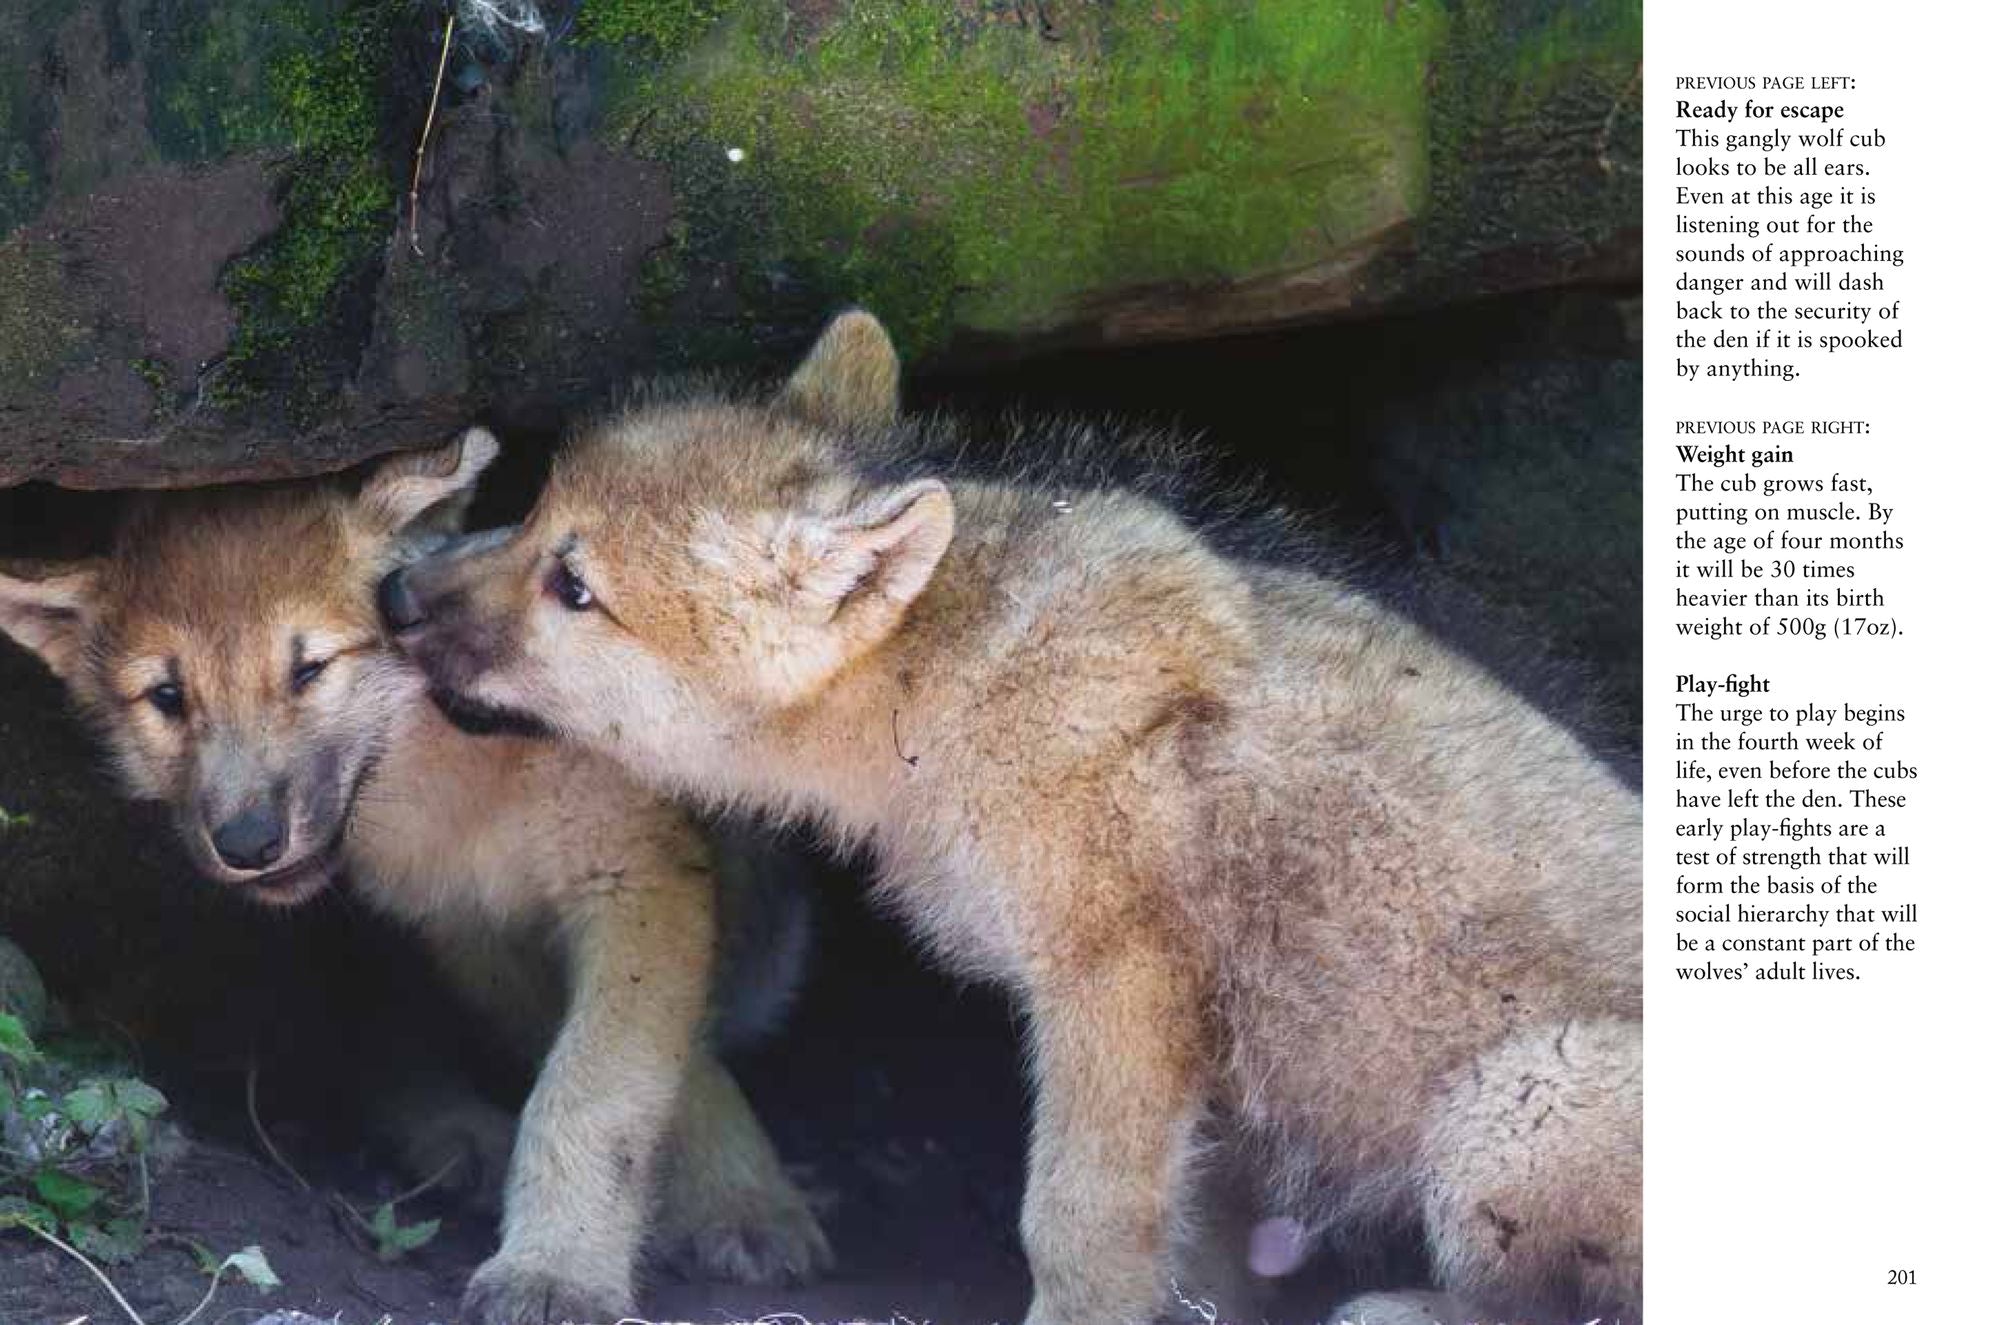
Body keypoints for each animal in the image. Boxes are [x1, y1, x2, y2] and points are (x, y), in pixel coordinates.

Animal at [0, 435, 832, 1325]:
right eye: (166, 696)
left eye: (309, 669)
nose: (248, 842)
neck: (459, 786)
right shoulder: (468, 931)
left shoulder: (639, 879)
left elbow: (600, 1085)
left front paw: (584, 1261)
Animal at [384, 312, 1643, 1325]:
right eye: (531, 508)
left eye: (575, 588)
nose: (392, 592)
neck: (952, 682)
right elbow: (1188, 1239)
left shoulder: (1113, 986)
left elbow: (1076, 1219)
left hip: (1520, 1104)